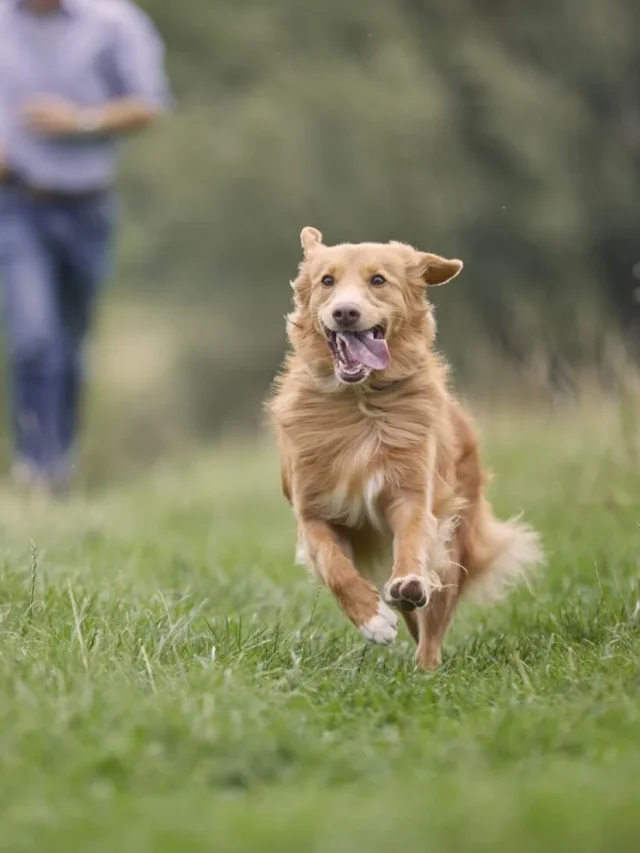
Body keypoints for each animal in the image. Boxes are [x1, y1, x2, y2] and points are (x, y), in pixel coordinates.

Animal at [268, 230, 544, 668]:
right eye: (327, 281)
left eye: (378, 280)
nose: (345, 312)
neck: (360, 401)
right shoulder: (312, 513)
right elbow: (335, 567)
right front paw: (372, 619)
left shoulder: (411, 494)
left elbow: (413, 541)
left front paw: (408, 582)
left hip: (454, 540)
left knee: (433, 620)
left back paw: (425, 664)